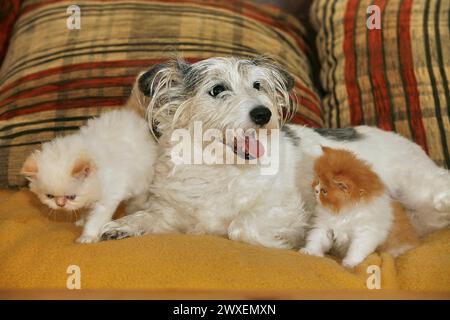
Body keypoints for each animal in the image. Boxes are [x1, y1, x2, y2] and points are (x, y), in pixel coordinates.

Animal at [21, 109, 158, 244]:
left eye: (71, 197)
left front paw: (88, 236)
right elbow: (85, 210)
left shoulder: (106, 199)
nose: (60, 205)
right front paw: (82, 220)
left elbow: (95, 221)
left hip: (142, 182)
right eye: (49, 196)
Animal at [99, 57, 450, 248]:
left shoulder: (285, 209)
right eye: (217, 89)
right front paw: (120, 226)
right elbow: (148, 216)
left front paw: (283, 242)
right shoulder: (171, 212)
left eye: (258, 86)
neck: (219, 168)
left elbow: (240, 226)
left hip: (417, 187)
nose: (263, 114)